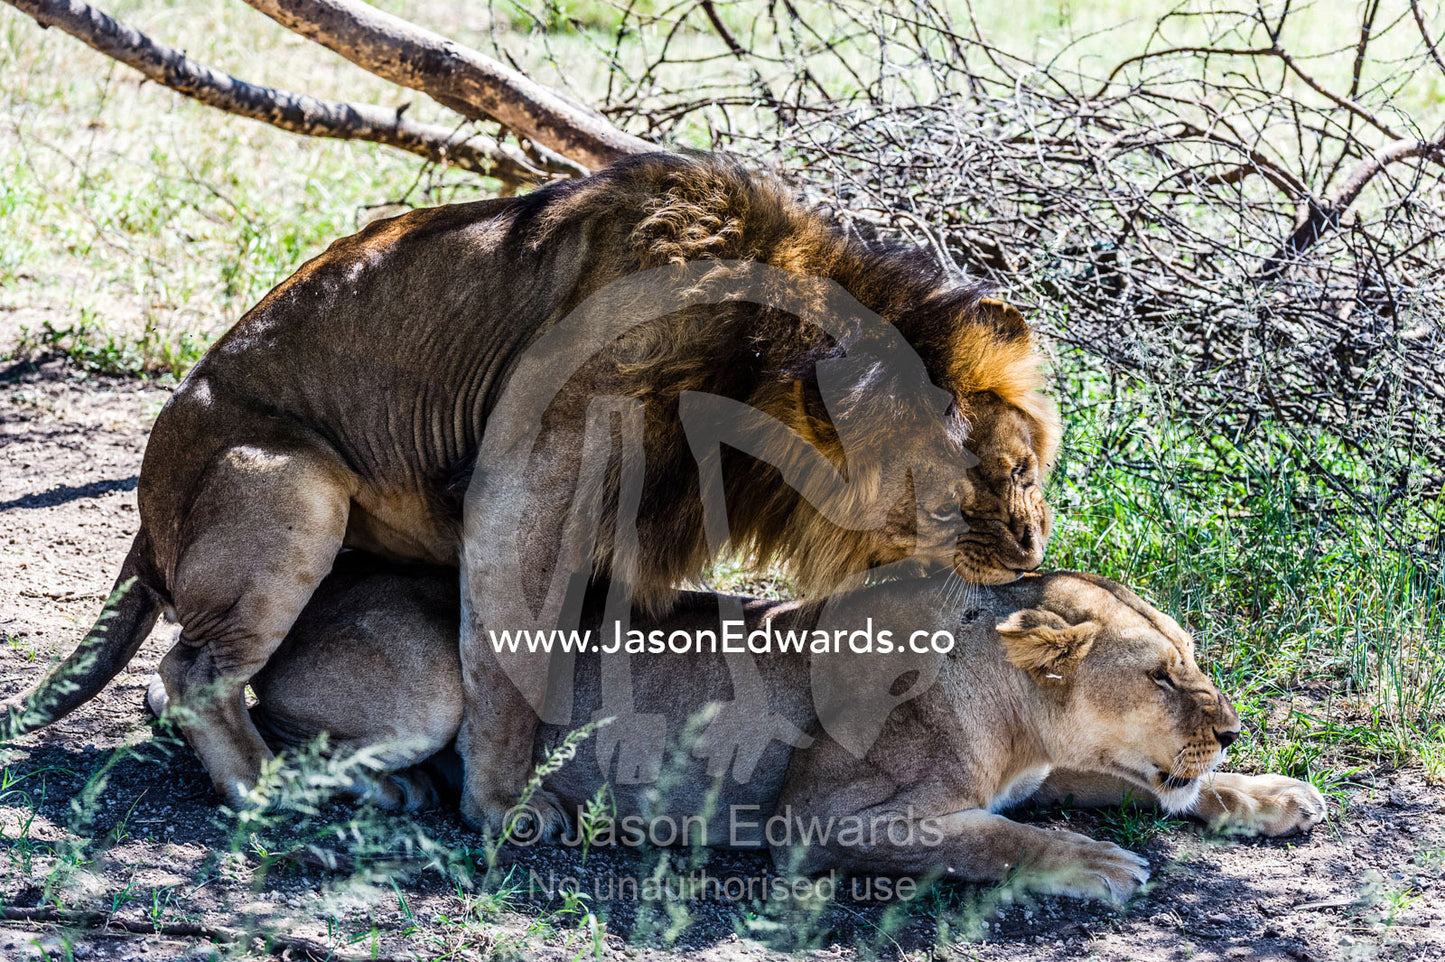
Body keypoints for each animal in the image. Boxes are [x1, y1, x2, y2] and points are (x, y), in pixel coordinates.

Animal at [3, 153, 1059, 831]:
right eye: (954, 501)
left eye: (1025, 472)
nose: (1032, 551)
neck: (756, 362)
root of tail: (145, 513)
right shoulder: (528, 481)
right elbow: (512, 660)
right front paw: (506, 805)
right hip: (289, 480)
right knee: (193, 670)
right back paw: (283, 798)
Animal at [147, 553, 1326, 901]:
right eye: (1162, 675)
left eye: (1191, 661)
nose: (1229, 727)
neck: (1008, 710)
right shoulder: (824, 817)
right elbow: (994, 838)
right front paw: (1093, 865)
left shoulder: (1042, 769)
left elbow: (1130, 787)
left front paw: (1269, 793)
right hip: (436, 672)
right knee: (231, 711)